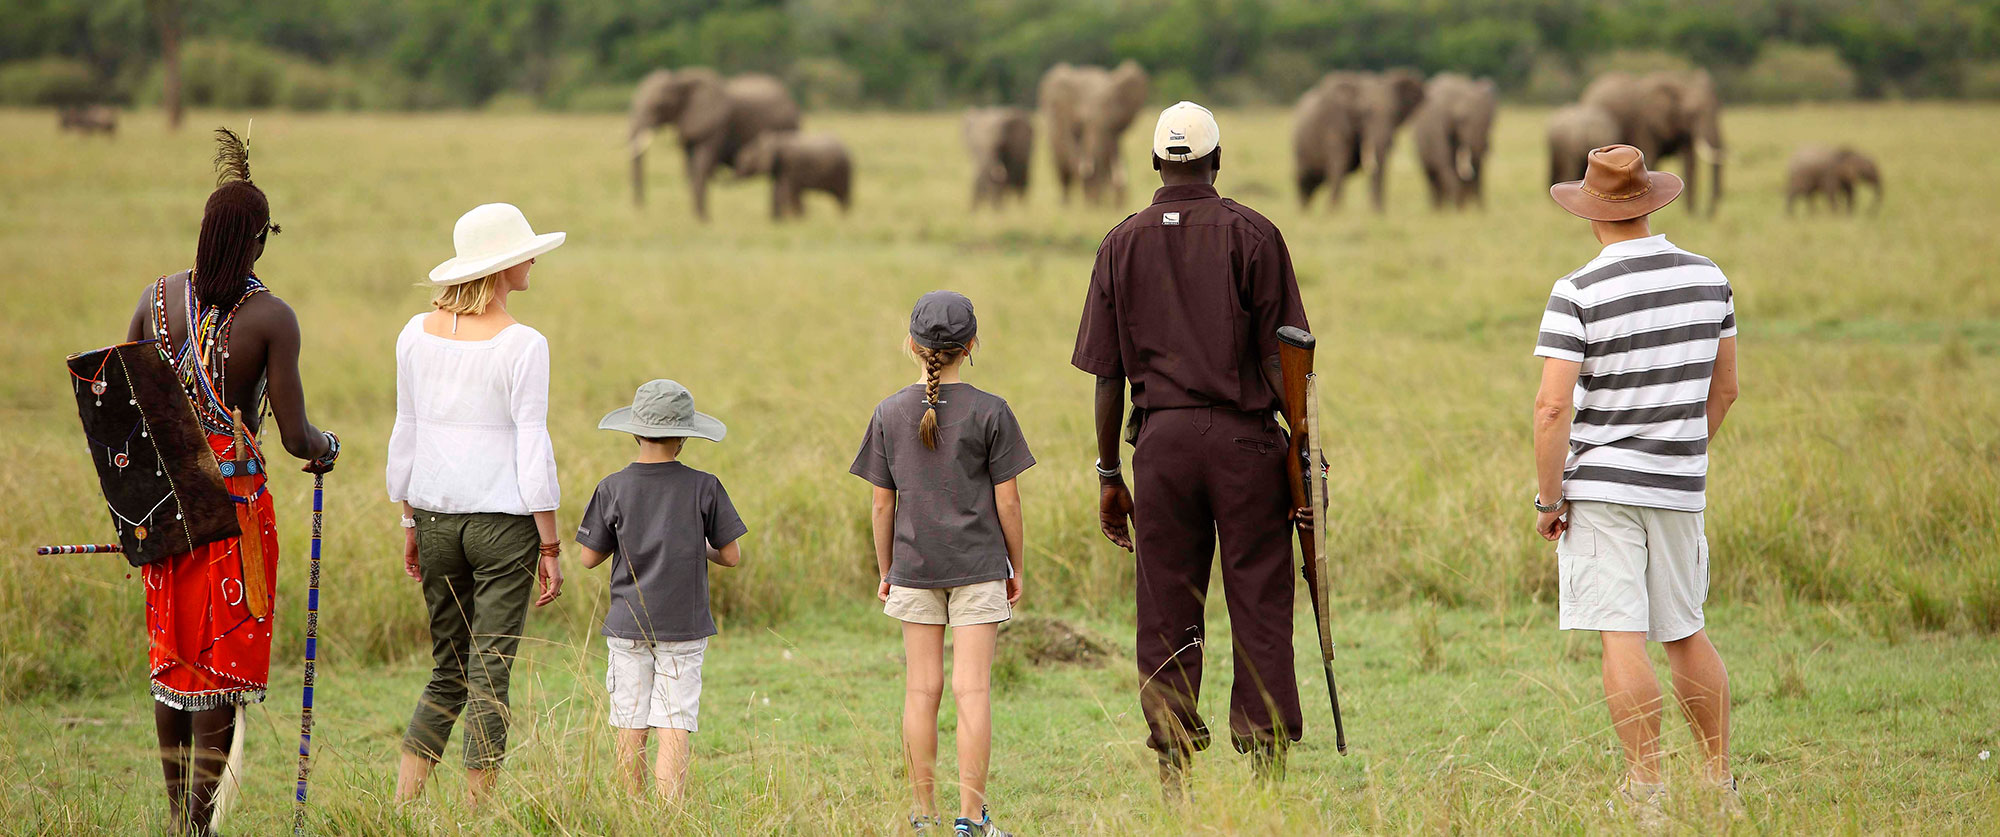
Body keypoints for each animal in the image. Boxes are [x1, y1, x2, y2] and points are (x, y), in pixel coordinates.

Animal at [632, 68, 804, 217]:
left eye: (659, 105)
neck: (681, 80)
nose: (642, 210)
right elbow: (690, 167)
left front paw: (703, 221)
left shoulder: (717, 127)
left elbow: (701, 165)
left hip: (787, 128)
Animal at [1040, 60, 1152, 206]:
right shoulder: (1063, 125)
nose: (1120, 205)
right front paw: (1093, 204)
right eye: (1081, 122)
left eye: (1113, 123)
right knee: (1062, 172)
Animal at [1296, 69, 1424, 212]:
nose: (1379, 213)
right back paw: (1305, 212)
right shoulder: (1335, 125)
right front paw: (1334, 212)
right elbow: (1340, 163)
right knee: (1303, 180)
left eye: (1394, 114)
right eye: (1365, 113)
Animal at [1416, 72, 1496, 209]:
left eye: (1492, 120)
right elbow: (1447, 165)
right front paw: (1459, 209)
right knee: (1432, 175)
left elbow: (1478, 167)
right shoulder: (1439, 130)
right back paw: (1440, 209)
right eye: (1462, 119)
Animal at [1576, 71, 1720, 216]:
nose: (1707, 215)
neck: (1677, 82)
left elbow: (1689, 162)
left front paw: (1688, 215)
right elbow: (1650, 158)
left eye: (1718, 107)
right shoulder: (1645, 125)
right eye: (1692, 113)